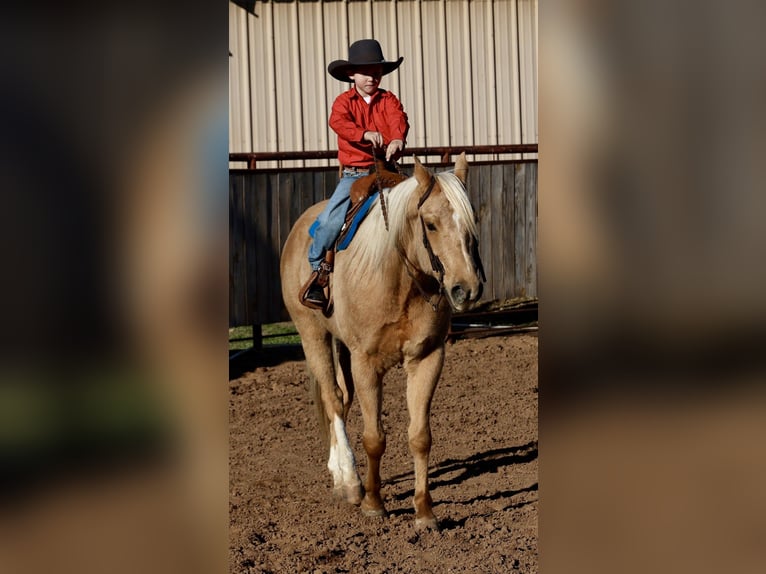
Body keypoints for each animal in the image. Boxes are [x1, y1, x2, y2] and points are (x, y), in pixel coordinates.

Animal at [280, 153, 485, 530]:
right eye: (430, 224)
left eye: (472, 220)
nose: (467, 289)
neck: (400, 279)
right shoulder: (367, 362)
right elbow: (374, 438)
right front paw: (374, 503)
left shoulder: (428, 358)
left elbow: (420, 437)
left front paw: (424, 511)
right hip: (312, 334)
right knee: (332, 400)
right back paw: (348, 481)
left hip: (342, 347)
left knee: (341, 400)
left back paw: (340, 473)